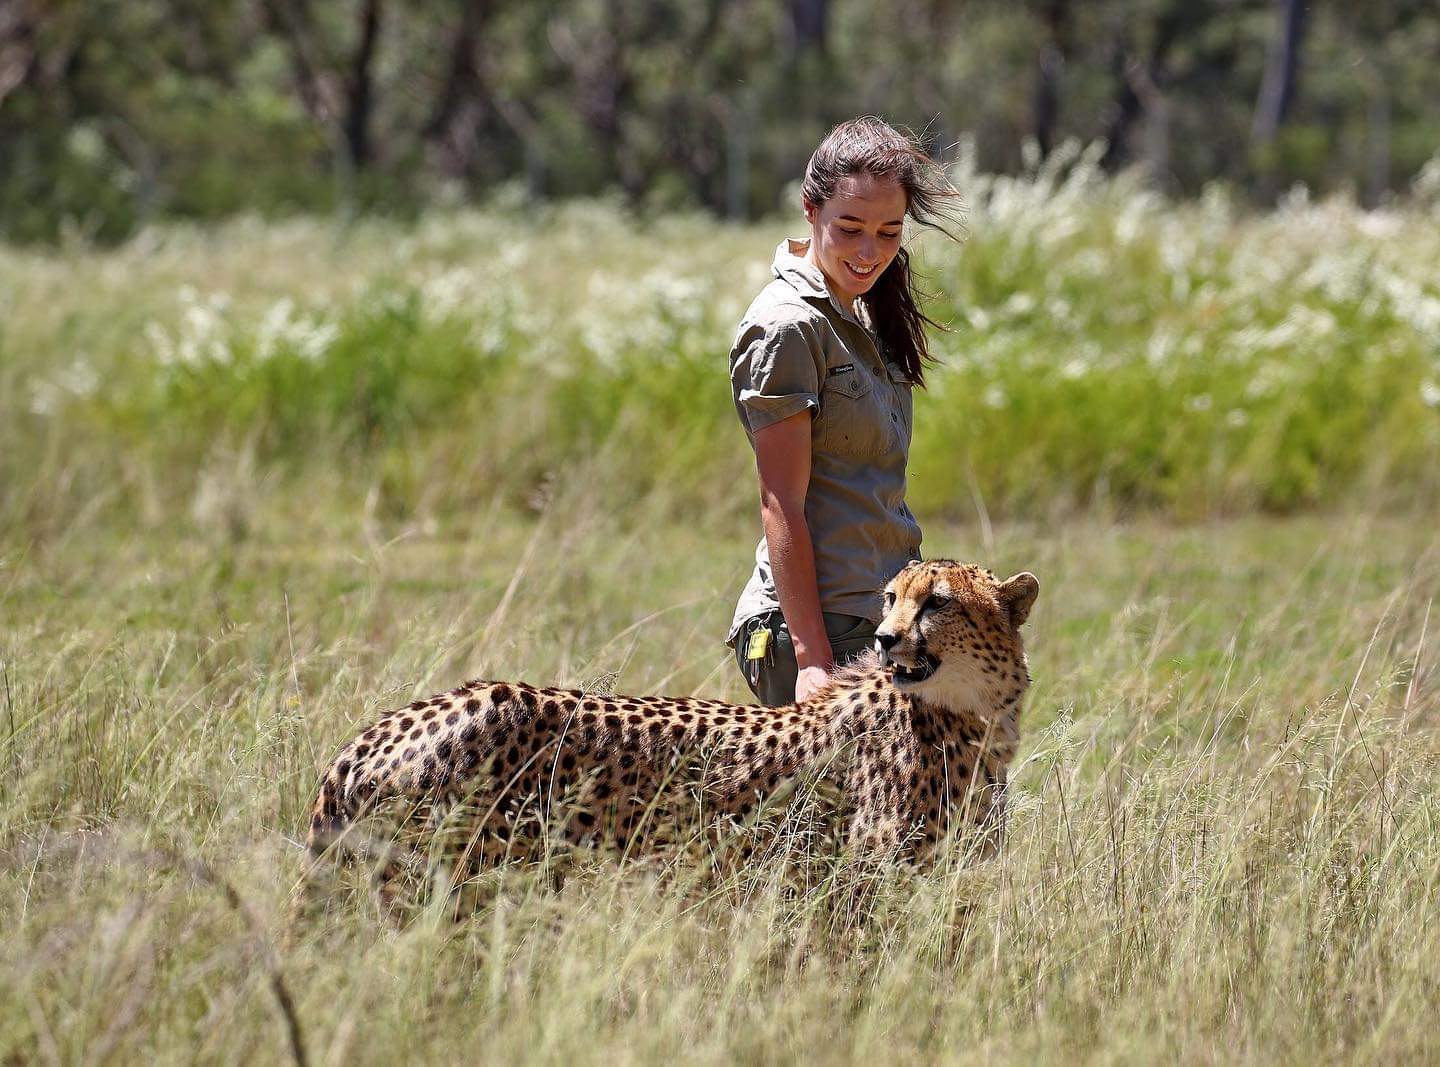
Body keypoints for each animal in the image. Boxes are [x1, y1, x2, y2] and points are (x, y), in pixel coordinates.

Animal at [309, 558, 1042, 892]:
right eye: (891, 598)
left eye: (937, 602)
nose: (887, 640)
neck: (975, 712)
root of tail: (379, 731)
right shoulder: (864, 876)